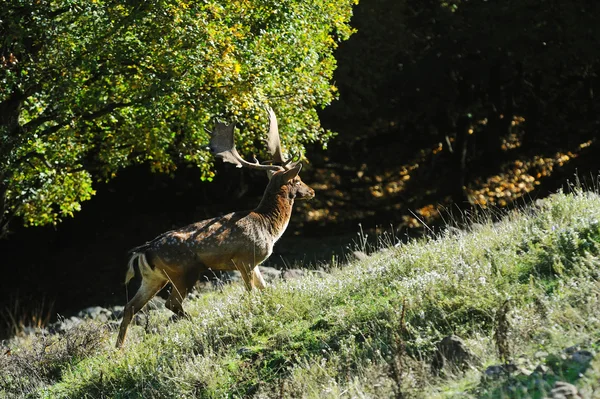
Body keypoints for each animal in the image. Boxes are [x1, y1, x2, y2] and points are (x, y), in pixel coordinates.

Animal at [114, 108, 316, 348]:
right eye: (298, 179)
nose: (312, 191)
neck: (268, 226)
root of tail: (145, 250)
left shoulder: (254, 262)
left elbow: (264, 289)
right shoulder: (244, 258)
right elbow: (251, 292)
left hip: (153, 278)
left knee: (130, 307)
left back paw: (118, 350)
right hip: (184, 270)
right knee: (171, 304)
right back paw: (196, 323)